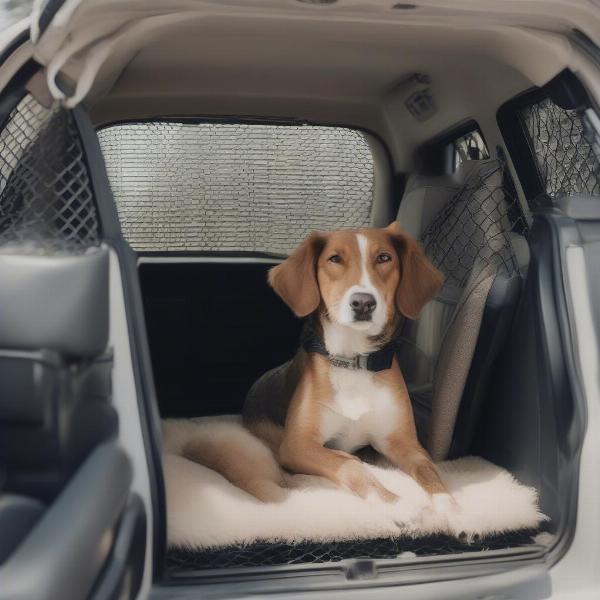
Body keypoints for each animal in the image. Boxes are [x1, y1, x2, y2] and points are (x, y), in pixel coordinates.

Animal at [183, 223, 454, 512]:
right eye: (334, 259)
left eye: (384, 258)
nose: (363, 303)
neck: (353, 364)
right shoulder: (298, 445)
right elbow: (350, 468)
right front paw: (395, 504)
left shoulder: (406, 444)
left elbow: (429, 471)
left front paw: (449, 508)